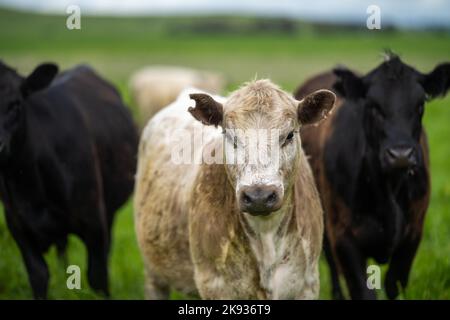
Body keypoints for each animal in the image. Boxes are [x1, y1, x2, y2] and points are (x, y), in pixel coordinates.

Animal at [0, 61, 139, 298]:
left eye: (15, 104)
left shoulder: (94, 223)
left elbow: (98, 276)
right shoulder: (18, 227)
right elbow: (38, 276)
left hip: (108, 210)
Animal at [135, 80, 336, 300]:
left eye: (289, 135)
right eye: (230, 136)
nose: (259, 196)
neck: (266, 237)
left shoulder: (307, 284)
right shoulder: (215, 286)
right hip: (153, 270)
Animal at [296, 53, 450, 298]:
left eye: (420, 105)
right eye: (373, 105)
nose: (400, 155)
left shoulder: (413, 233)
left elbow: (394, 284)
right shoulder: (343, 235)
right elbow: (363, 290)